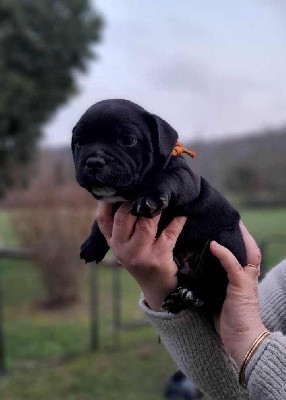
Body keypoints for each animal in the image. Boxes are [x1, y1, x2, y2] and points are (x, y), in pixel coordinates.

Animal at [71, 98, 246, 314]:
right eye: (79, 142)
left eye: (128, 140)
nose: (94, 161)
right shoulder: (111, 203)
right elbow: (100, 221)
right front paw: (92, 243)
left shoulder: (183, 177)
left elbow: (165, 179)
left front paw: (149, 198)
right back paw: (181, 298)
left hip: (225, 243)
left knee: (216, 286)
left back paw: (194, 295)